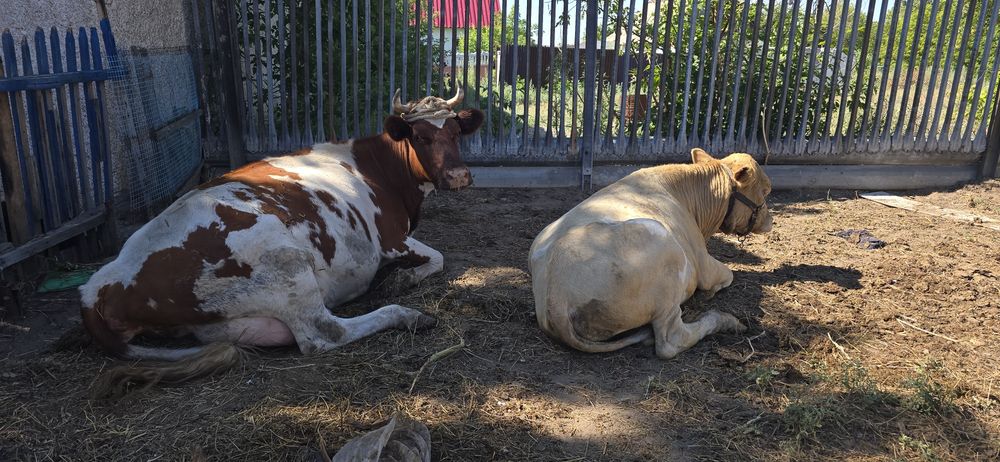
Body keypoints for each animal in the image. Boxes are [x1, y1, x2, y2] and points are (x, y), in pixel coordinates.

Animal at [80, 88, 483, 394]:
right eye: (421, 137)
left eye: (456, 133)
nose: (459, 176)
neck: (379, 168)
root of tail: (101, 285)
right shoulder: (389, 238)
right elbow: (439, 257)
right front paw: (402, 280)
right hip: (287, 265)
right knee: (324, 333)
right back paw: (408, 316)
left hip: (222, 321)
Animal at [528, 148, 773, 359]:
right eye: (765, 190)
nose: (771, 221)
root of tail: (555, 296)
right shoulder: (704, 264)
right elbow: (729, 275)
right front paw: (711, 293)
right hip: (664, 248)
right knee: (670, 341)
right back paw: (724, 320)